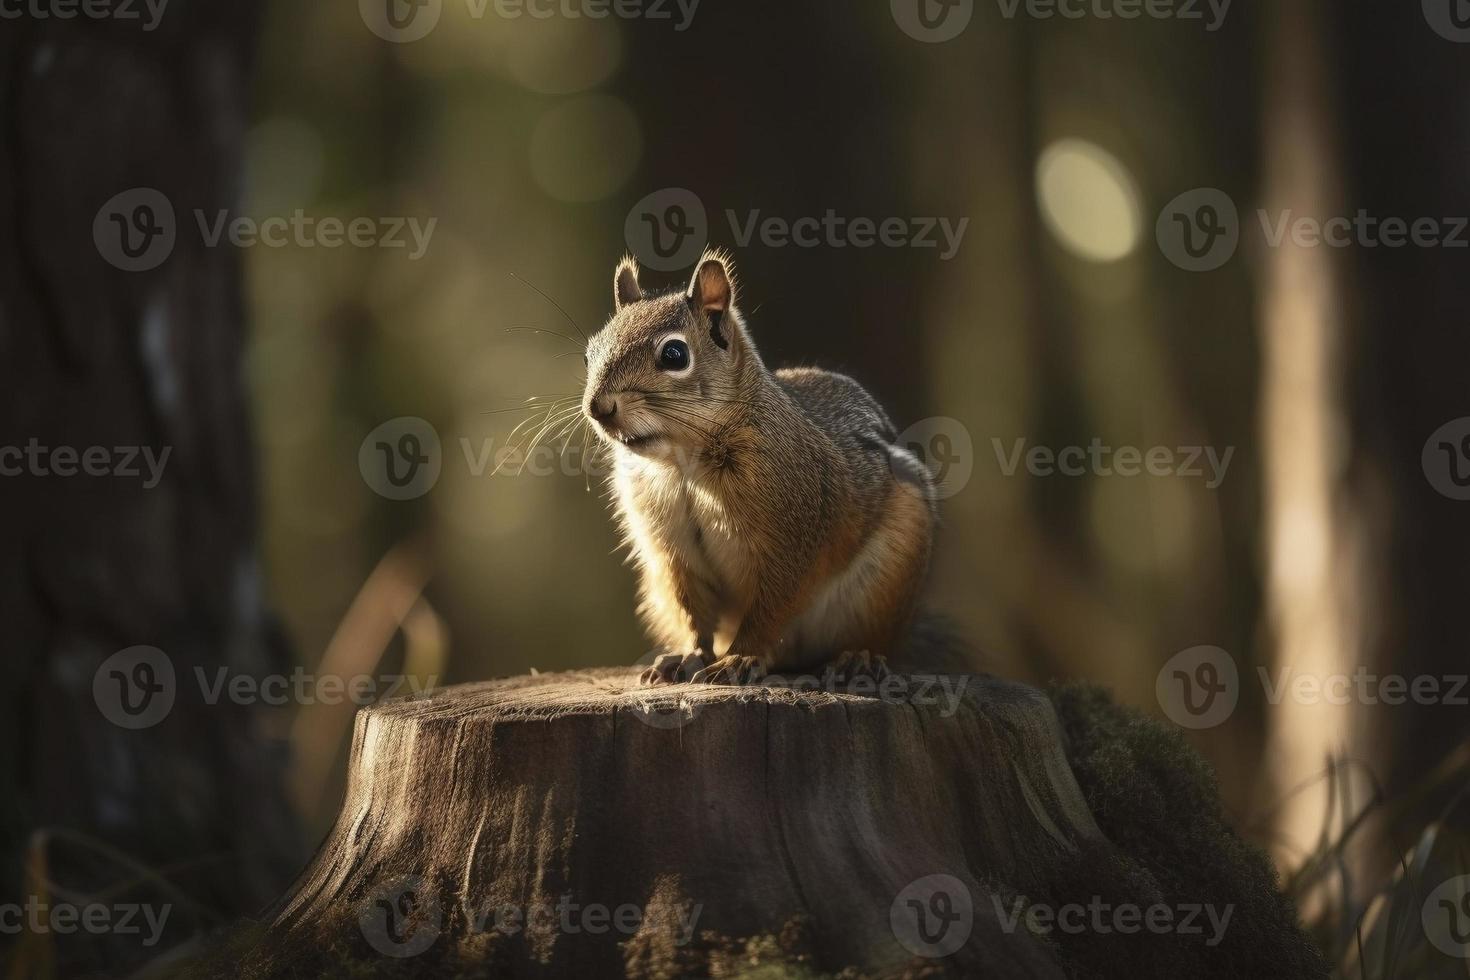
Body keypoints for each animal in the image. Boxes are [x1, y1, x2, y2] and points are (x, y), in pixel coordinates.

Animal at [582, 249, 934, 687]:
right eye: (589, 353)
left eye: (674, 355)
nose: (598, 407)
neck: (683, 462)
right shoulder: (671, 552)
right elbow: (692, 609)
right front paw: (688, 655)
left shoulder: (795, 540)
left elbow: (772, 607)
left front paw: (739, 658)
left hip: (886, 583)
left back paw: (858, 658)